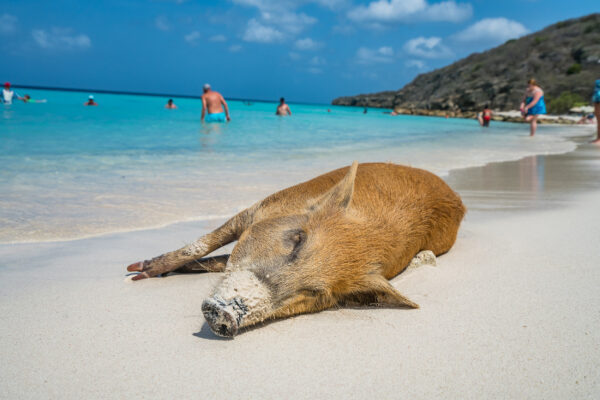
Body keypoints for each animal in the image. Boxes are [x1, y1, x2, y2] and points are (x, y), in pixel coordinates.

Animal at [125, 161, 464, 336]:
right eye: (297, 240)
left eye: (315, 292)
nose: (227, 314)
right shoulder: (257, 208)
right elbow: (203, 245)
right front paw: (136, 272)